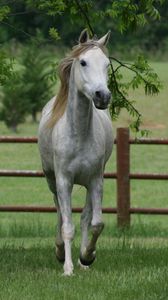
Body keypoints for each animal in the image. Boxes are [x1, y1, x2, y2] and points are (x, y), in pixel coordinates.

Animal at [38, 29, 113, 276]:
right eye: (83, 62)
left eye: (107, 64)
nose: (102, 96)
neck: (79, 134)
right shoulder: (64, 181)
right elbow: (67, 225)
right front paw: (68, 268)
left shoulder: (96, 180)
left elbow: (95, 223)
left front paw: (87, 256)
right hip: (52, 181)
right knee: (60, 213)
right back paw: (60, 251)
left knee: (85, 217)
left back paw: (82, 262)